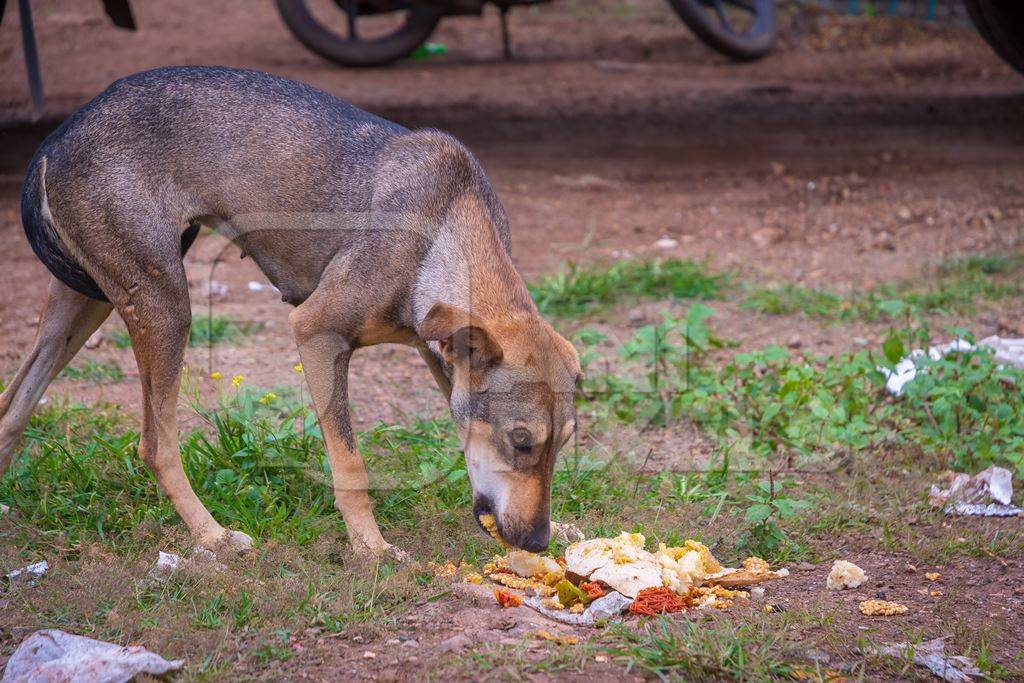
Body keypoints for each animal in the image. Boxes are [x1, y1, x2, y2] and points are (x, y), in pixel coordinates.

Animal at [0, 68, 581, 561]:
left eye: (561, 446)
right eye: (521, 441)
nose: (537, 542)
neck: (443, 225)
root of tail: (60, 135)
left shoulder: (440, 353)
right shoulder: (316, 333)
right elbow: (351, 464)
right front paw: (370, 548)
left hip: (85, 304)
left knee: (12, 409)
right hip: (164, 307)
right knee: (155, 446)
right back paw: (211, 536)